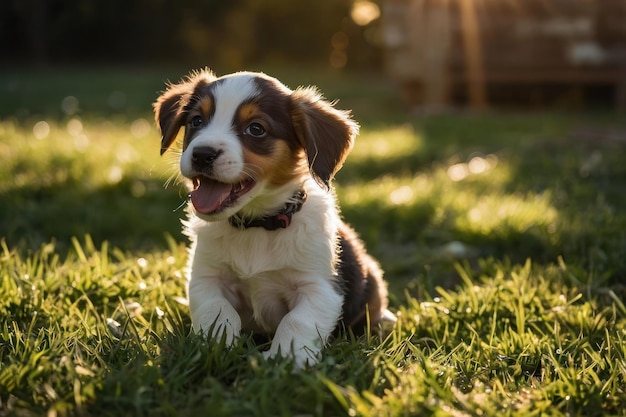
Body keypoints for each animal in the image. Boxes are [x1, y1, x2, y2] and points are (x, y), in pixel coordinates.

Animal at [153, 69, 392, 368]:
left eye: (256, 129)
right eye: (197, 120)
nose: (202, 154)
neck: (256, 225)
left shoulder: (319, 288)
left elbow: (297, 321)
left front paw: (287, 359)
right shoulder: (207, 278)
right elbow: (217, 311)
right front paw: (214, 346)